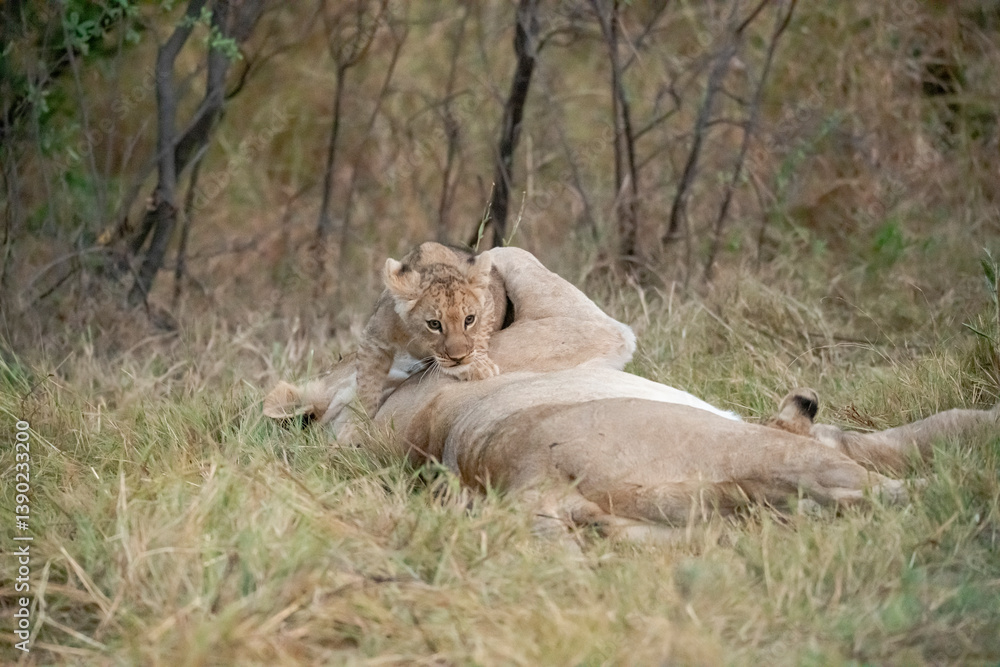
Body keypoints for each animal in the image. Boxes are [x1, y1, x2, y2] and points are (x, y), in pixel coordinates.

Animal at [265, 247, 998, 541]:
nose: (453, 349)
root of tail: (529, 484)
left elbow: (936, 427)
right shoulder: (580, 328)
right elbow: (507, 254)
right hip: (763, 455)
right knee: (904, 497)